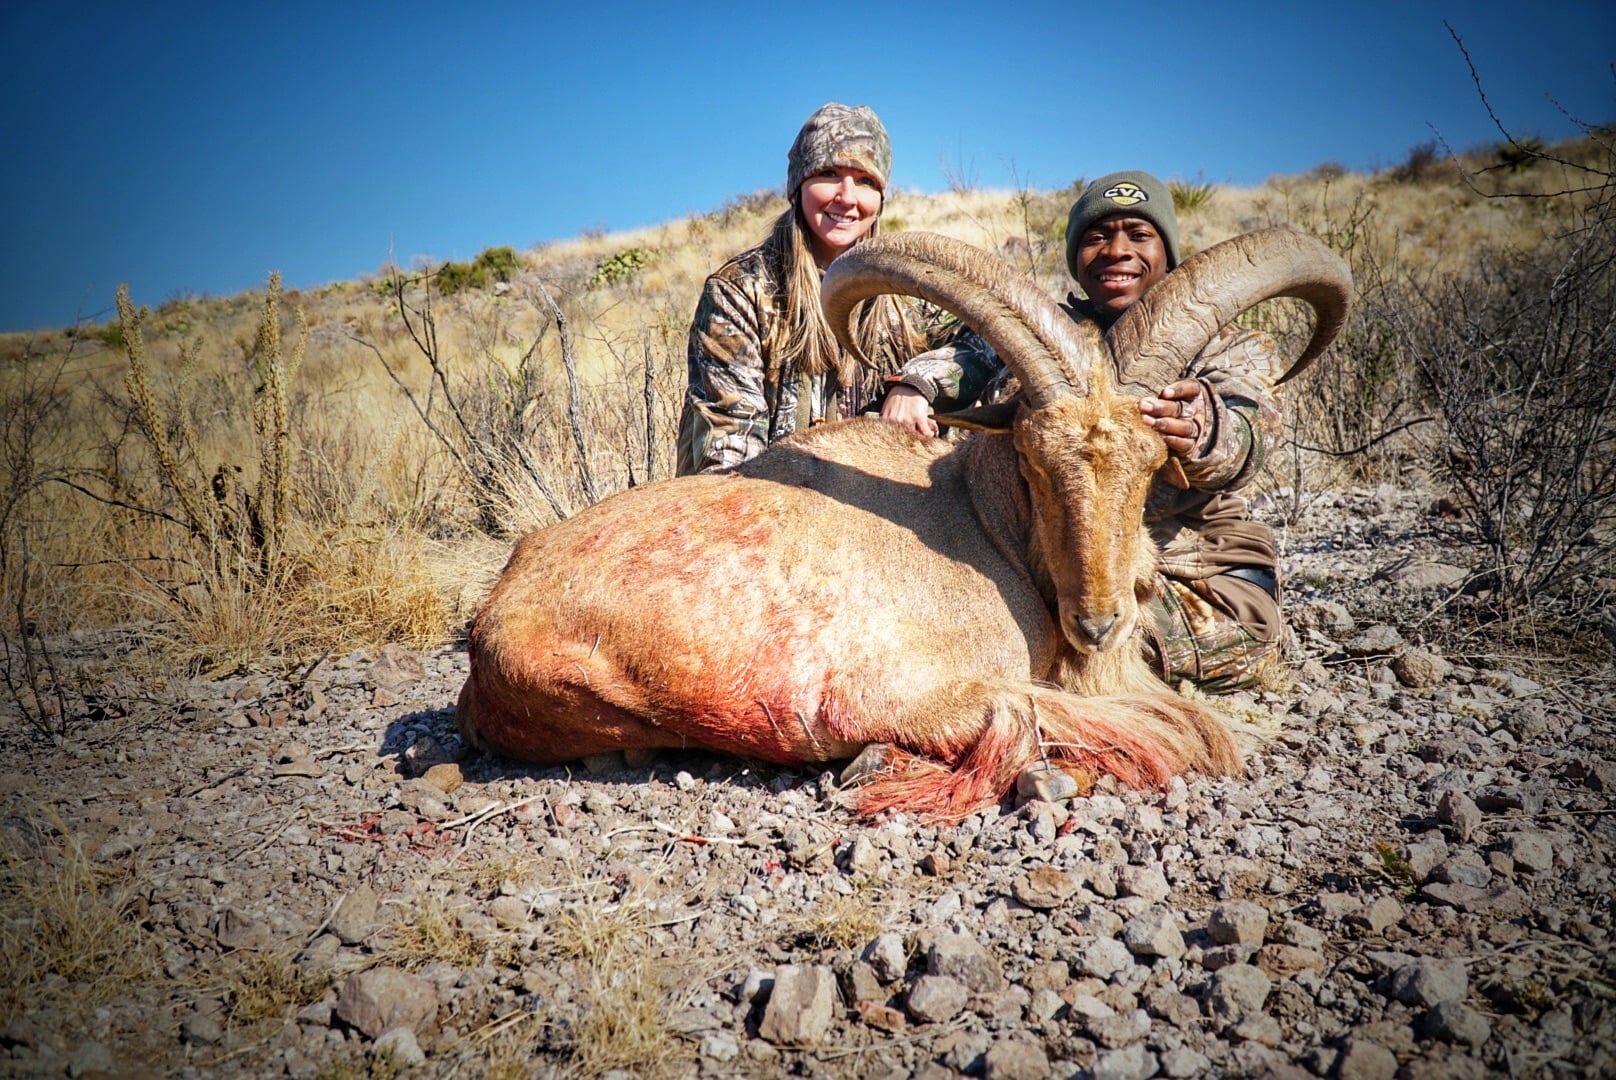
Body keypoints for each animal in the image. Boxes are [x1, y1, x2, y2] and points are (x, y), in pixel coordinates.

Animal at [456, 227, 1352, 820]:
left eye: (1153, 462)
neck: (982, 524)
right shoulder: (888, 687)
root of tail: (489, 628)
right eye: (1032, 461)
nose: (1099, 623)